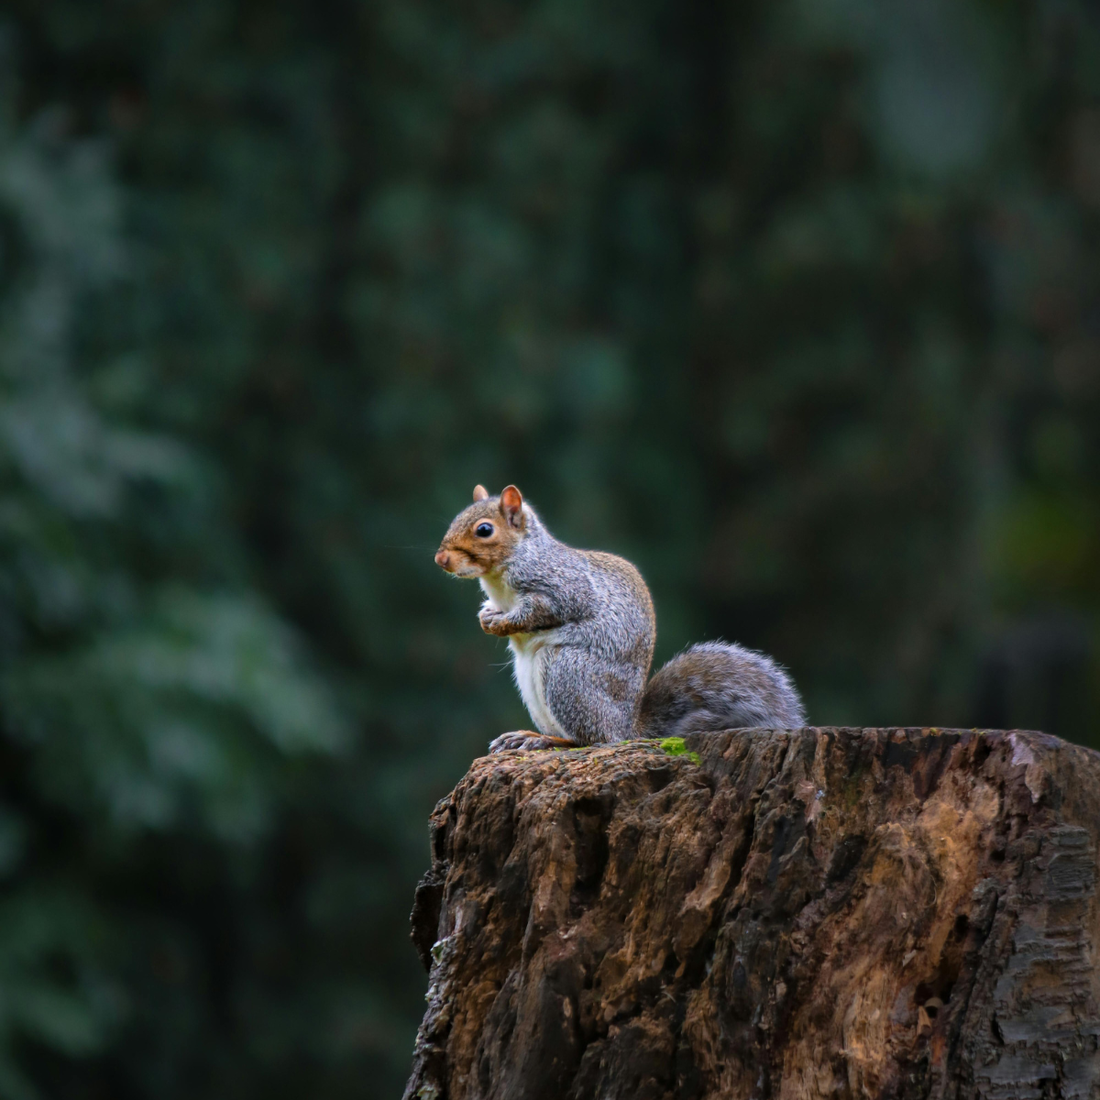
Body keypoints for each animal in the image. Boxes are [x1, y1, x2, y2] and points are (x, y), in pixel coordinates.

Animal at [435, 484, 805, 753]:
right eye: (454, 519)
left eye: (484, 530)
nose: (441, 559)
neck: (500, 577)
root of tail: (628, 726)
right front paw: (487, 618)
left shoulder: (564, 588)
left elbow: (544, 610)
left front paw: (504, 623)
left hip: (568, 672)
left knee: (593, 739)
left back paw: (546, 739)